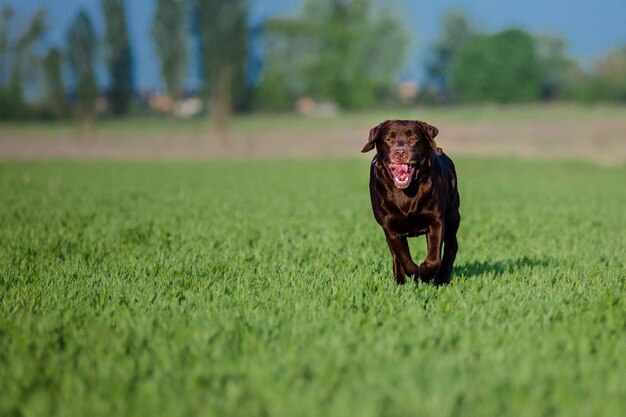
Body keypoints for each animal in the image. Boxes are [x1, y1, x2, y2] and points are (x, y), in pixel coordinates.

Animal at [360, 118, 458, 284]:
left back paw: (442, 279)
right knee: (395, 256)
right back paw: (399, 280)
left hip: (453, 215)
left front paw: (424, 274)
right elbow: (403, 257)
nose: (400, 153)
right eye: (389, 139)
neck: (407, 192)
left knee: (451, 246)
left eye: (413, 139)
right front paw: (414, 274)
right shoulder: (390, 227)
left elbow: (433, 259)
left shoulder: (436, 220)